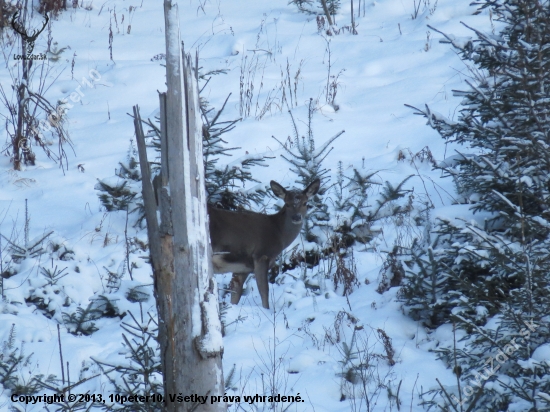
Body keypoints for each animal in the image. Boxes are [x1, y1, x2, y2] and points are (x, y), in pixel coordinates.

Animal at [209, 179, 322, 308]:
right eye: (287, 204)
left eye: (305, 203)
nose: (296, 217)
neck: (278, 233)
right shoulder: (261, 255)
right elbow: (264, 291)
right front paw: (267, 309)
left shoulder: (242, 267)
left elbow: (235, 292)